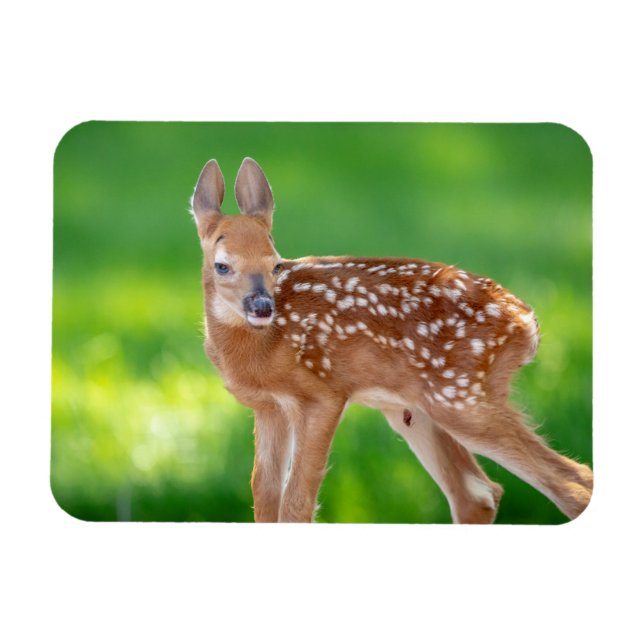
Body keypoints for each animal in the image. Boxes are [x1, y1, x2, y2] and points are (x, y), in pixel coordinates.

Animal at [190, 156, 593, 524]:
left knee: (574, 484)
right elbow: (264, 497)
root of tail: (527, 322)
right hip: (416, 410)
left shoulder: (324, 393)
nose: (262, 306)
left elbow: (296, 503)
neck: (260, 348)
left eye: (275, 263)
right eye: (222, 265)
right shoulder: (269, 408)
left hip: (462, 397)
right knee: (479, 493)